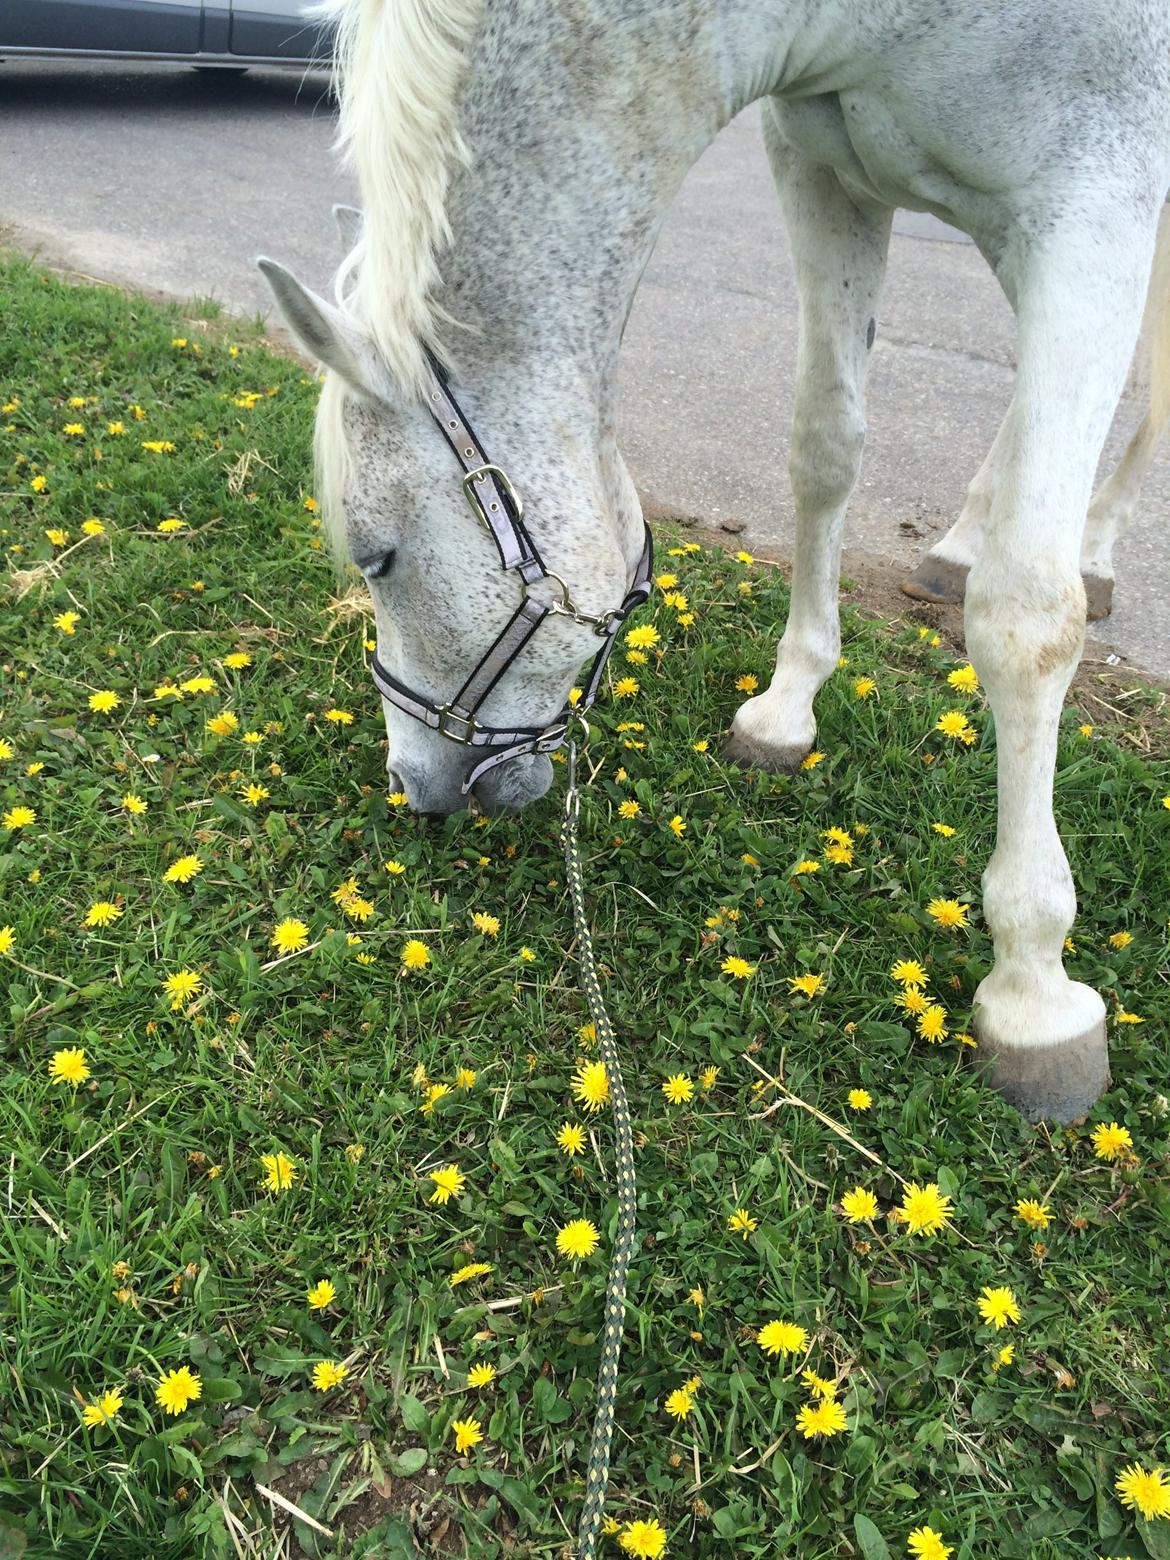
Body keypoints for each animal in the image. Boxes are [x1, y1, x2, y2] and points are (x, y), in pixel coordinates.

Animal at [260, 0, 1170, 1135]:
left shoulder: (1094, 204)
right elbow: (825, 444)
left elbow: (1029, 613)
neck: (884, 28)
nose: (410, 787)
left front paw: (1033, 984)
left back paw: (1097, 547)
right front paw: (787, 709)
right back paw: (962, 538)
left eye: (378, 555)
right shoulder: (827, 174)